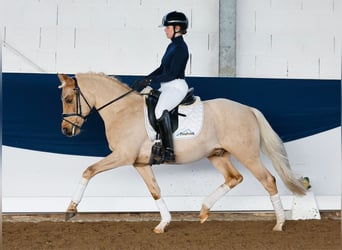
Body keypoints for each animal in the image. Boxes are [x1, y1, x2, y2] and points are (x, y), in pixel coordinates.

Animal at [57, 73, 306, 233]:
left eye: (69, 99)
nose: (66, 131)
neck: (122, 111)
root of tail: (248, 109)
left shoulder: (123, 156)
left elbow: (89, 170)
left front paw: (70, 210)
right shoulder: (140, 163)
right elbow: (155, 191)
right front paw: (163, 224)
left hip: (247, 155)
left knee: (268, 180)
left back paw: (279, 224)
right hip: (218, 154)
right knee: (234, 178)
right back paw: (204, 211)